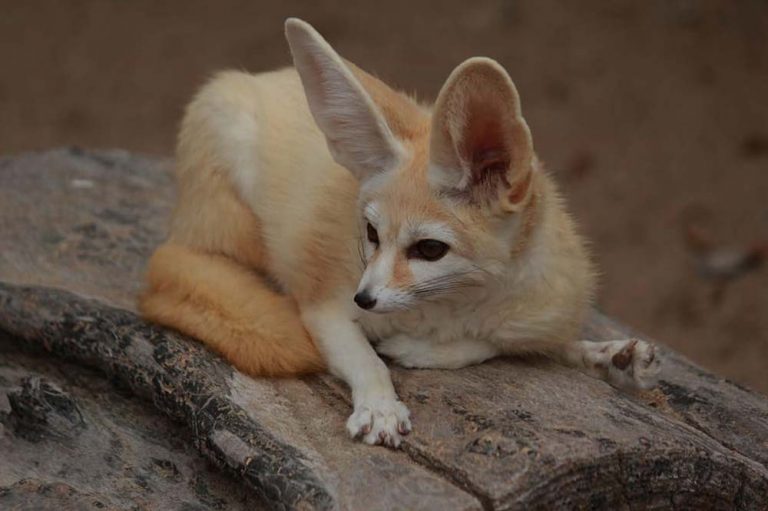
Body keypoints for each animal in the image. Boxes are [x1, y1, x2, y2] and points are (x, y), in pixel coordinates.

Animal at [139, 18, 661, 448]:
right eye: (370, 232)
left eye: (429, 249)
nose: (364, 299)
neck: (453, 305)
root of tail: (265, 77)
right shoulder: (325, 308)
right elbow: (365, 358)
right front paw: (380, 403)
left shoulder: (542, 314)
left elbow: (507, 343)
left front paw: (605, 352)